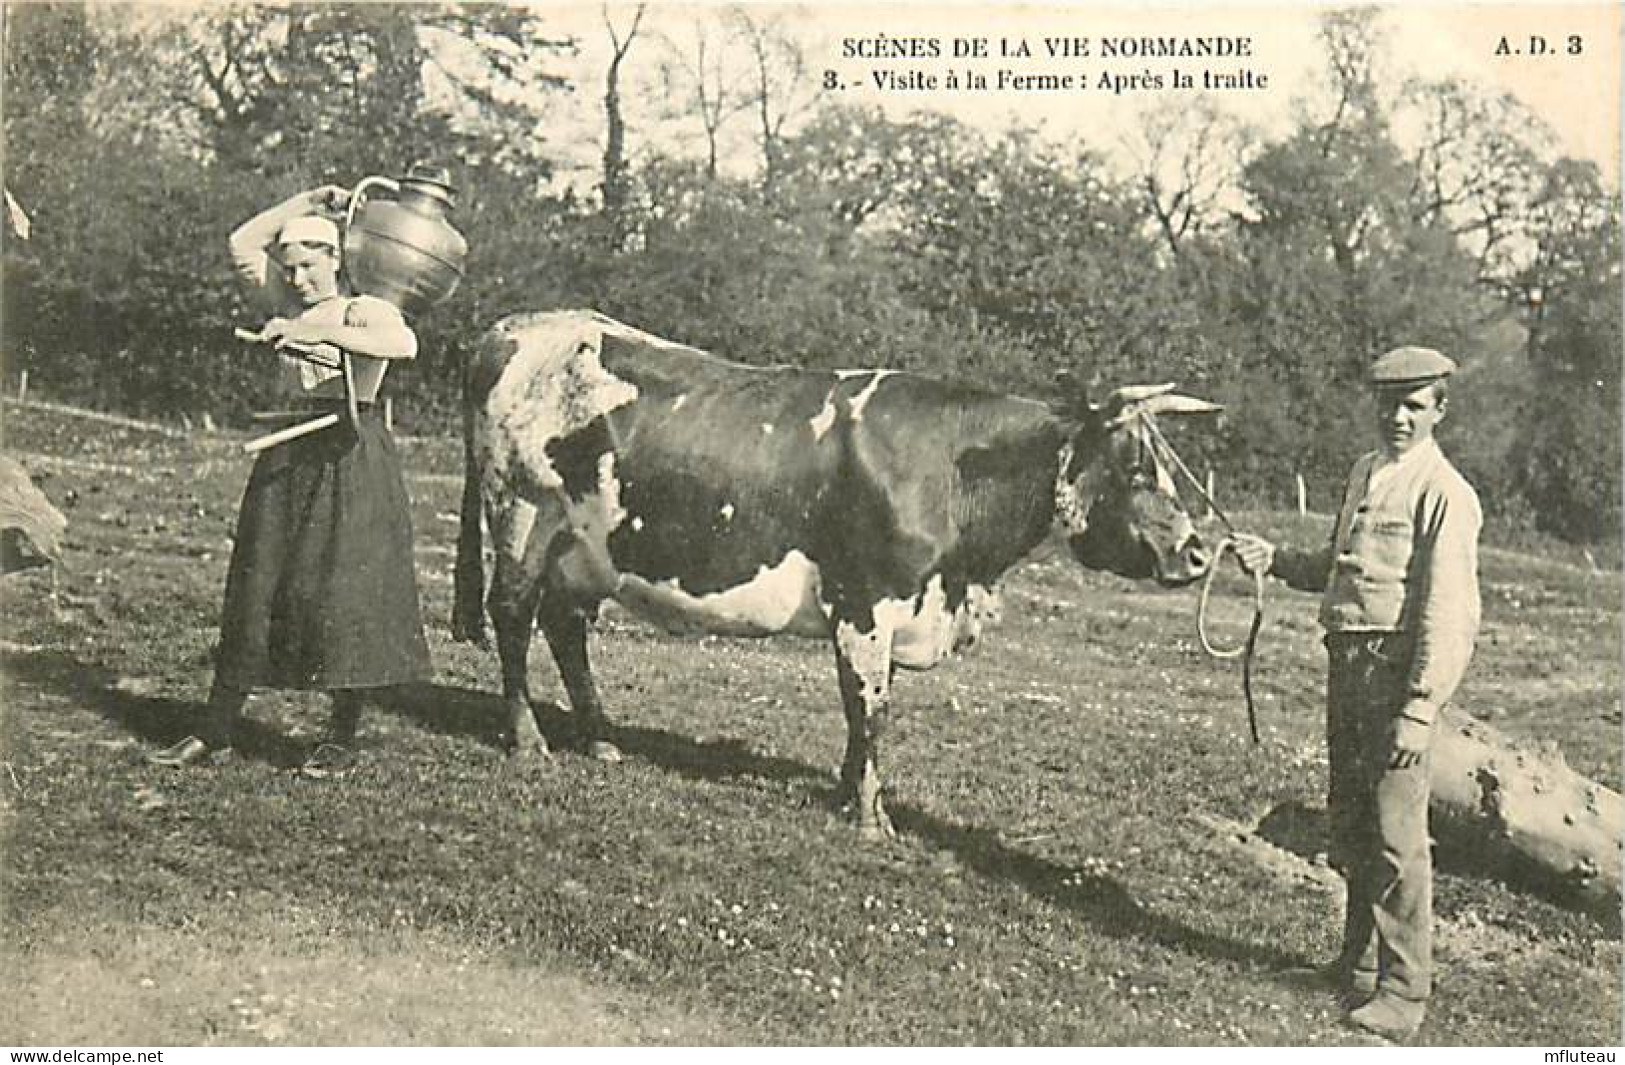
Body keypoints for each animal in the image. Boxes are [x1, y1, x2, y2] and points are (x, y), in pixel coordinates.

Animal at [458, 310, 1222, 838]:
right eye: (1134, 467)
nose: (1195, 552)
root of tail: (509, 328)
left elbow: (866, 708)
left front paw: (848, 795)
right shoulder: (866, 600)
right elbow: (869, 707)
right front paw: (869, 814)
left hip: (584, 546)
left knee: (565, 626)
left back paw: (601, 739)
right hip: (522, 511)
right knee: (513, 614)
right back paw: (528, 740)